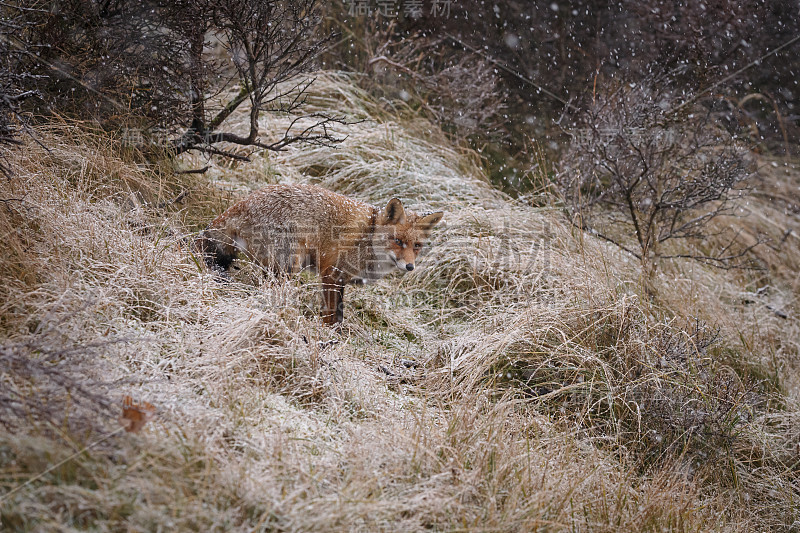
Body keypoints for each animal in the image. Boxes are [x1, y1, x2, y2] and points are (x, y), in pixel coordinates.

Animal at [195, 183, 444, 324]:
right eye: (398, 241)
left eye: (417, 246)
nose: (410, 267)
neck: (369, 234)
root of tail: (242, 203)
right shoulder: (330, 274)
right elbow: (330, 315)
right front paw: (328, 337)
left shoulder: (340, 280)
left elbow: (339, 316)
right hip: (289, 263)